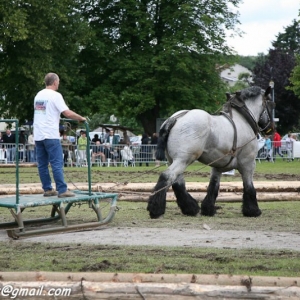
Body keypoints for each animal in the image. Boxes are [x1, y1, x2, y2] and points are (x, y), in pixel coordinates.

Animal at [147, 85, 274, 219]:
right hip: (183, 160)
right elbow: (249, 187)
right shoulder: (248, 164)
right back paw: (156, 209)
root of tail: (174, 119)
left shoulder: (218, 166)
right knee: (167, 176)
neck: (243, 120)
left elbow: (213, 186)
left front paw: (208, 209)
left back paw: (190, 208)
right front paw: (252, 210)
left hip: (174, 160)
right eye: (271, 104)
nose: (271, 129)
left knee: (177, 182)